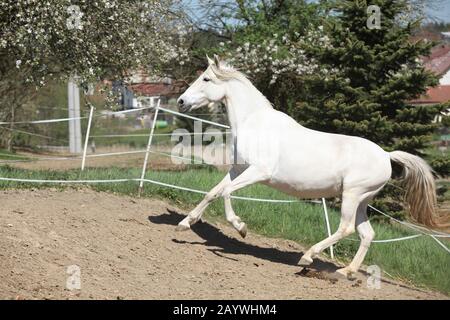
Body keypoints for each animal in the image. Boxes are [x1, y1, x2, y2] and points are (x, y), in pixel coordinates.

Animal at [175, 55, 436, 278]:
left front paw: (241, 227)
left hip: (352, 195)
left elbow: (227, 193)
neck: (255, 123)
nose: (181, 101)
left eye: (206, 79)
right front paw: (184, 224)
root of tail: (386, 155)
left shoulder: (258, 172)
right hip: (363, 201)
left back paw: (308, 257)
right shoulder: (238, 169)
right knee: (367, 234)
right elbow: (213, 192)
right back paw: (345, 272)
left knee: (346, 229)